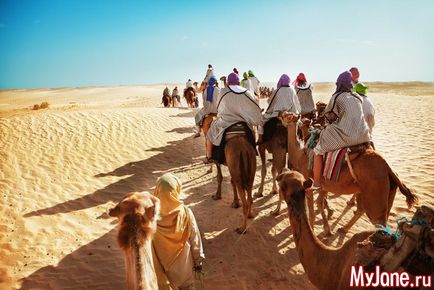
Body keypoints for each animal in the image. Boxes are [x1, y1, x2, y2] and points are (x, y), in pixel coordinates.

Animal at [274, 112, 418, 237]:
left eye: (287, 115)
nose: (279, 114)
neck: (300, 154)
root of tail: (388, 168)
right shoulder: (324, 186)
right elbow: (320, 204)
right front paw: (327, 229)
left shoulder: (309, 184)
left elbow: (312, 210)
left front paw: (315, 229)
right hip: (379, 192)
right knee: (364, 211)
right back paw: (344, 229)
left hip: (375, 193)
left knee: (378, 219)